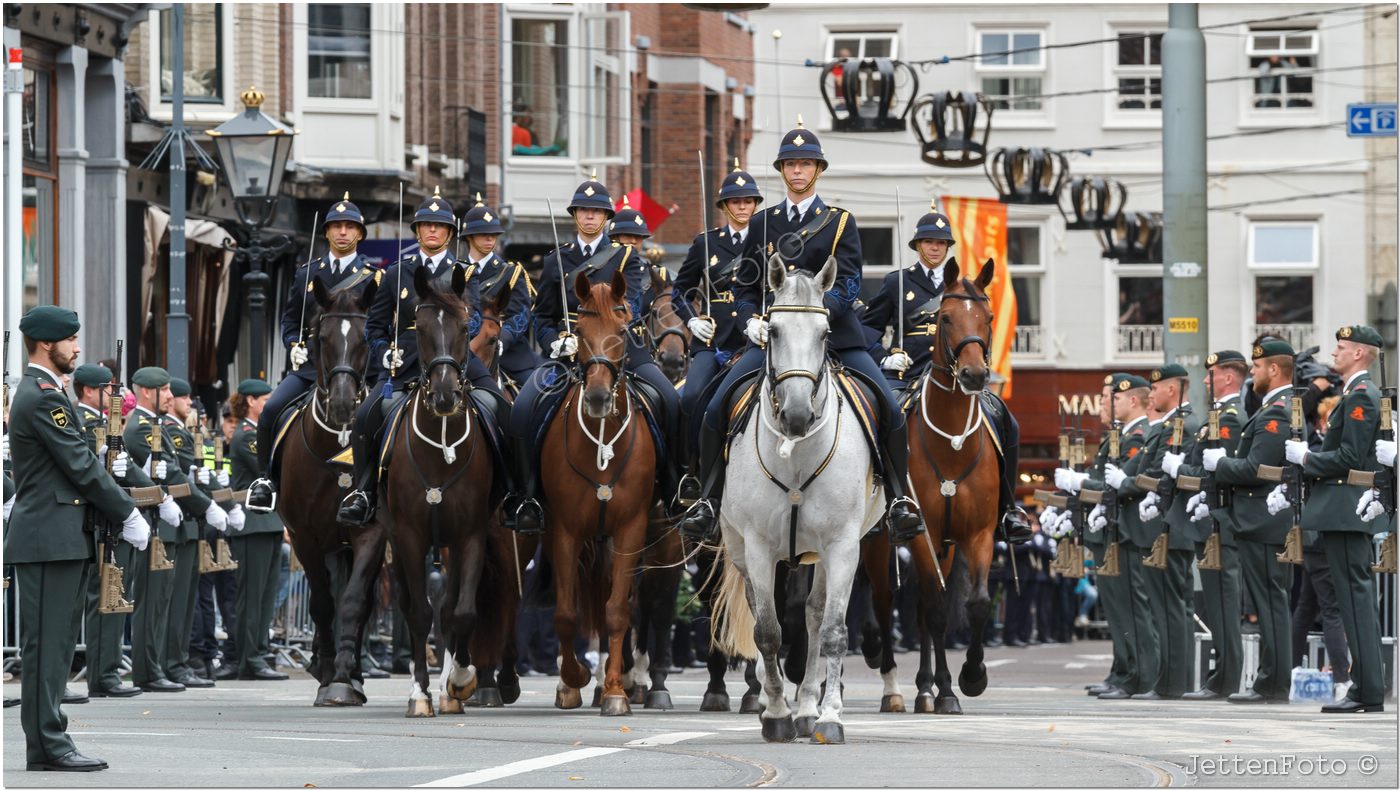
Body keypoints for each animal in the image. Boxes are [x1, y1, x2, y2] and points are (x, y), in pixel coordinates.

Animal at [273, 274, 386, 705]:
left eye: (366, 340)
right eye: (320, 337)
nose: (341, 405)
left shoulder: (371, 532)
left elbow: (353, 603)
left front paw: (343, 679)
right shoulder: (304, 537)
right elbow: (322, 603)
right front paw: (324, 672)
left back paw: (354, 672)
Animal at [383, 263, 504, 717]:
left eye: (465, 324)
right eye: (417, 327)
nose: (445, 395)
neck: (441, 444)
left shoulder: (471, 535)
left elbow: (462, 611)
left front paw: (461, 679)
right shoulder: (409, 536)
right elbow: (419, 613)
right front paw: (420, 693)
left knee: (450, 605)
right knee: (409, 605)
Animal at [543, 267, 658, 717]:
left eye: (623, 331)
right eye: (578, 331)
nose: (595, 397)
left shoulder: (631, 529)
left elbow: (616, 610)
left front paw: (614, 690)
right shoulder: (564, 530)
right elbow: (565, 612)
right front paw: (572, 679)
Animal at [716, 254, 879, 745]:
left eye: (825, 334)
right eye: (773, 330)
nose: (796, 414)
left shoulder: (843, 546)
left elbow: (832, 631)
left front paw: (829, 717)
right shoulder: (757, 546)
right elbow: (768, 632)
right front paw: (775, 715)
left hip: (823, 554)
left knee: (813, 616)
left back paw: (808, 707)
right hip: (740, 548)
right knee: (763, 612)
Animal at [862, 259, 1008, 717]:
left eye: (989, 317)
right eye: (944, 317)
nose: (975, 374)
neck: (951, 443)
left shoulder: (977, 535)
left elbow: (975, 604)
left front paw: (969, 678)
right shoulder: (921, 531)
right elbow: (939, 609)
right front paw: (947, 689)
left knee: (919, 608)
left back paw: (924, 688)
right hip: (879, 540)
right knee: (882, 598)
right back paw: (889, 680)